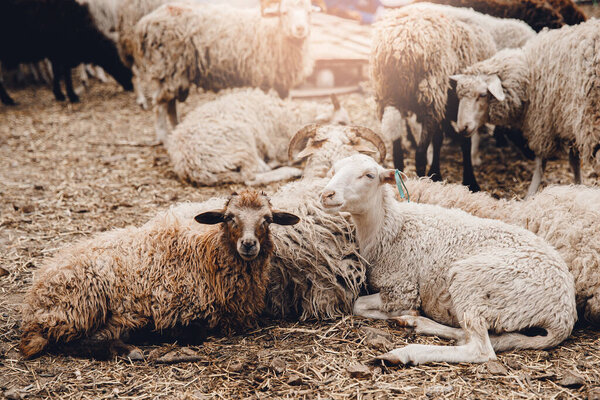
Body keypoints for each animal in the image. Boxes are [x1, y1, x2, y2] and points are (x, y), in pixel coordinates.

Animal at [0, 0, 132, 104]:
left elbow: (57, 73)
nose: (131, 87)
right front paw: (72, 96)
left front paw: (59, 94)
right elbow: (65, 74)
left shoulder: (57, 54)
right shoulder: (62, 53)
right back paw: (9, 100)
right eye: (121, 63)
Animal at [18, 191, 300, 360]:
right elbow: (194, 332)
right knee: (60, 341)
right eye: (229, 217)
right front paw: (148, 333)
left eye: (267, 219)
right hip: (80, 305)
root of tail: (34, 298)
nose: (249, 244)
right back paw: (125, 347)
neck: (206, 255)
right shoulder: (175, 308)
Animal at [135, 0, 314, 143]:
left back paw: (175, 129)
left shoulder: (281, 82)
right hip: (168, 66)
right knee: (160, 103)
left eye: (308, 12)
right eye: (284, 12)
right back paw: (163, 137)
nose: (300, 28)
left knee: (170, 103)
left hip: (174, 74)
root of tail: (145, 23)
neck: (274, 30)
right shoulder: (263, 78)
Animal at [318, 153, 576, 366]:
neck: (391, 229)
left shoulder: (402, 289)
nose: (327, 194)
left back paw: (405, 352)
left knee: (480, 349)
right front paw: (410, 316)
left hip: (473, 282)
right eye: (334, 170)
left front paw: (406, 313)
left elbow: (357, 305)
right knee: (473, 335)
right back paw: (416, 323)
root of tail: (563, 314)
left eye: (369, 175)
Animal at [454, 19, 600, 198]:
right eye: (459, 96)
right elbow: (574, 161)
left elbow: (540, 164)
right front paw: (578, 185)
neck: (530, 76)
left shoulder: (544, 124)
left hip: (592, 121)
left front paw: (530, 193)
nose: (462, 127)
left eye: (482, 94)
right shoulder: (569, 122)